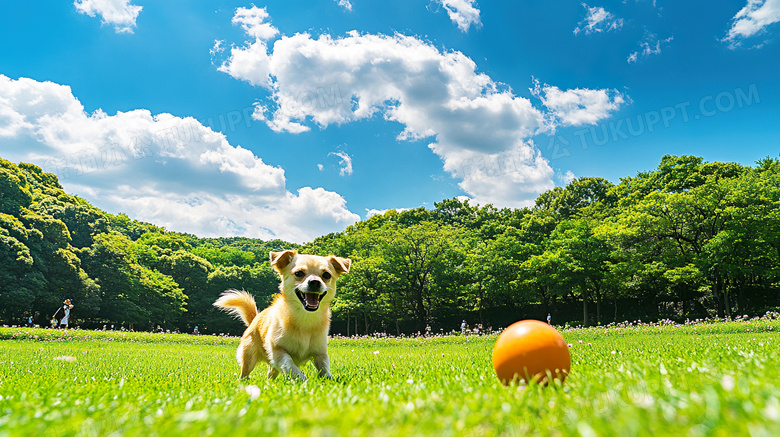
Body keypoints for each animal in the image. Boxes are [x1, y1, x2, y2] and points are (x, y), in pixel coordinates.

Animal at [212, 250, 348, 380]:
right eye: (299, 273)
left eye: (326, 275)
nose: (314, 282)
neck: (305, 317)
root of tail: (254, 319)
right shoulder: (277, 351)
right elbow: (289, 363)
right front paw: (301, 377)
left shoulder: (320, 353)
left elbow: (324, 367)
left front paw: (328, 379)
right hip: (249, 356)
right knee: (245, 373)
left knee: (271, 372)